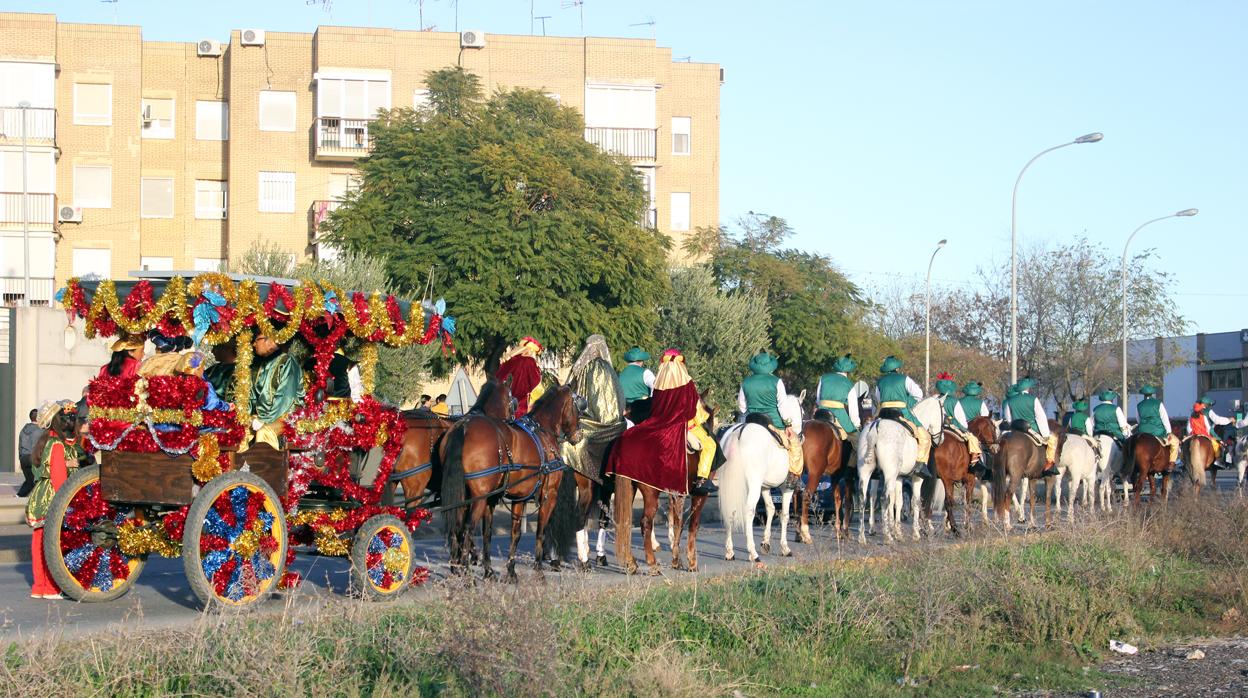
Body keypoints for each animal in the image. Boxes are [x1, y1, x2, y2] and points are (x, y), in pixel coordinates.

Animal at [441, 379, 581, 581]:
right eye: (578, 407)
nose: (579, 435)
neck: (543, 431)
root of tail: (464, 425)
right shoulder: (549, 496)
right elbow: (540, 532)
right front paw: (539, 570)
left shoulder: (518, 497)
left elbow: (511, 534)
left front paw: (509, 571)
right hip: (478, 498)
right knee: (467, 529)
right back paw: (467, 575)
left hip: (462, 496)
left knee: (456, 526)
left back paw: (457, 569)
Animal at [713, 394, 808, 561]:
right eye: (803, 413)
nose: (801, 437)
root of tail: (738, 433)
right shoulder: (786, 488)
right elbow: (784, 515)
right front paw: (785, 548)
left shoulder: (765, 487)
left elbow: (770, 509)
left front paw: (766, 542)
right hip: (753, 487)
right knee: (749, 512)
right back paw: (753, 553)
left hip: (732, 487)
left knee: (731, 511)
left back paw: (730, 551)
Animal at [798, 412, 858, 544]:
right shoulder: (848, 478)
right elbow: (847, 501)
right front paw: (844, 531)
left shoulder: (835, 477)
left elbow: (837, 499)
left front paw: (839, 530)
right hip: (815, 473)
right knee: (806, 494)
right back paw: (805, 533)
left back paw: (797, 533)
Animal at [853, 397, 938, 544]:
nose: (939, 439)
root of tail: (875, 428)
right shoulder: (917, 478)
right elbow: (915, 501)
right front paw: (915, 533)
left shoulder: (899, 477)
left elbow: (898, 502)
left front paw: (898, 532)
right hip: (889, 474)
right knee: (883, 499)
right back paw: (887, 536)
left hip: (866, 472)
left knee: (864, 498)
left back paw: (862, 536)